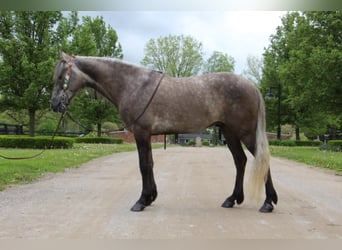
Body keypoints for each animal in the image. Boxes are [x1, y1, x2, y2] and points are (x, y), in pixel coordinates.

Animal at [50, 52, 278, 213]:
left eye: (61, 76)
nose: (54, 104)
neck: (132, 84)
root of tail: (253, 87)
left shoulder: (141, 133)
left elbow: (143, 165)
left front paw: (141, 201)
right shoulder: (147, 135)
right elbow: (150, 164)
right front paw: (151, 197)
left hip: (245, 133)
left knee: (261, 160)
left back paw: (268, 203)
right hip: (229, 132)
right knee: (240, 161)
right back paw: (232, 199)